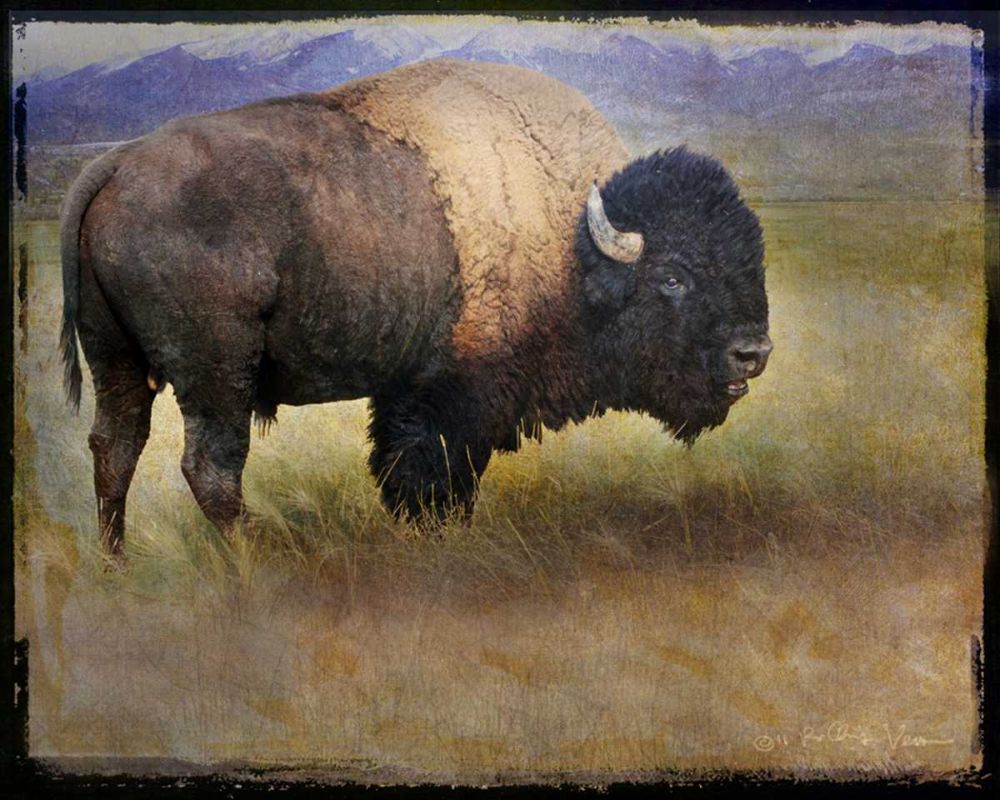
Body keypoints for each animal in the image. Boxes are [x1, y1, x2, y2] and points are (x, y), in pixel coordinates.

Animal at [60, 59, 771, 555]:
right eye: (673, 277)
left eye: (750, 260)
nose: (754, 352)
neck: (570, 241)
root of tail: (115, 165)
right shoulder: (452, 397)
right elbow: (434, 475)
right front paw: (437, 536)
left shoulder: (409, 390)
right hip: (215, 373)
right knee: (210, 467)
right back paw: (257, 562)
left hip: (117, 360)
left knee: (115, 450)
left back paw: (116, 565)